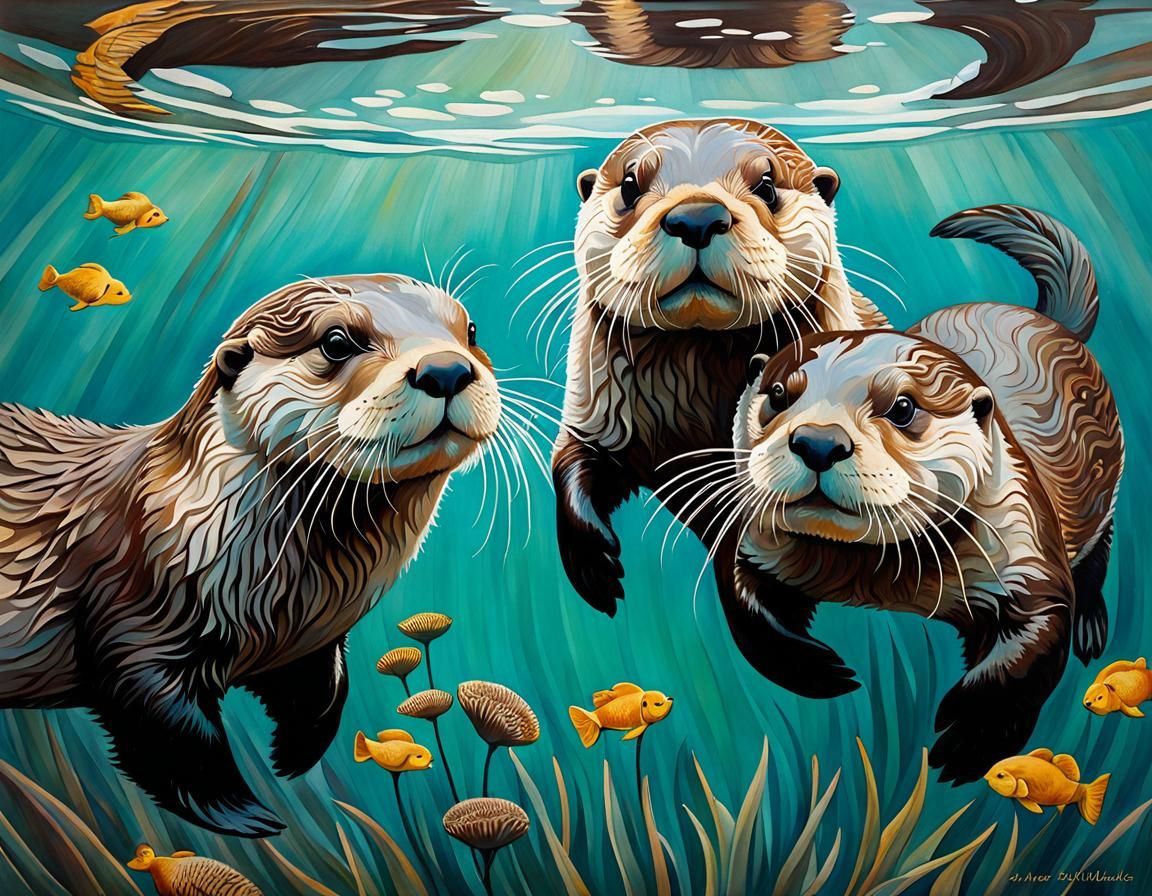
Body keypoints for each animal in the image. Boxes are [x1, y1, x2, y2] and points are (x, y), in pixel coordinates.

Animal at [0, 274, 501, 835]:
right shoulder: (136, 618)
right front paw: (246, 815)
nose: (446, 369)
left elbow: (327, 690)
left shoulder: (313, 640)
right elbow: (170, 730)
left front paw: (293, 757)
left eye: (470, 330)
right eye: (336, 342)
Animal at [552, 117, 886, 688]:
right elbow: (570, 463)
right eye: (630, 185)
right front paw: (595, 563)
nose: (697, 216)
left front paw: (809, 665)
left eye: (768, 186)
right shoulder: (599, 410)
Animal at [730, 205, 1122, 781]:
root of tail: (1057, 324)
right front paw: (824, 671)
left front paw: (970, 736)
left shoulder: (1024, 543)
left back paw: (1093, 628)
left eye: (903, 408)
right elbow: (748, 609)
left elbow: (1036, 641)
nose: (819, 441)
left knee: (1097, 554)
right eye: (778, 396)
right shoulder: (756, 541)